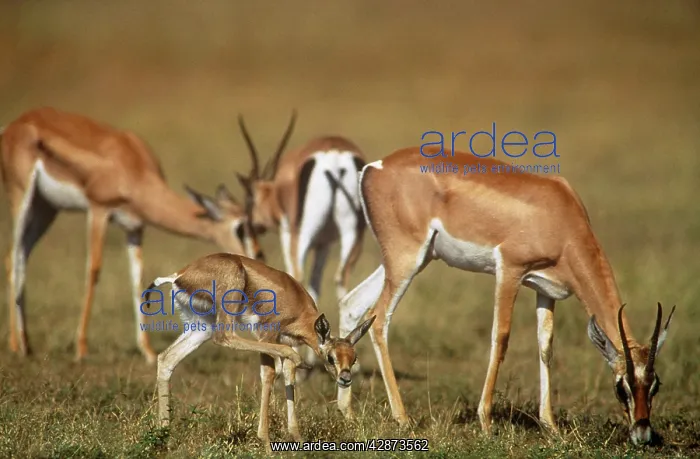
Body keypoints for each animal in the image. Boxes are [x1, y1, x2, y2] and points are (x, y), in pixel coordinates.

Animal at [0, 107, 263, 364]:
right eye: (240, 227)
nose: (257, 257)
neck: (133, 167)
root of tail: (15, 124)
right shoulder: (99, 210)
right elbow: (93, 270)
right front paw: (81, 349)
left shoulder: (134, 228)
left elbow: (137, 279)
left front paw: (148, 352)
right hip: (21, 196)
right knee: (13, 257)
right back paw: (14, 346)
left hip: (46, 208)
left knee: (22, 254)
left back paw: (26, 344)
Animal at [145, 252, 375, 454]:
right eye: (331, 357)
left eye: (353, 358)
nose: (345, 379)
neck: (296, 303)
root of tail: (180, 275)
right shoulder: (268, 336)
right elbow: (270, 374)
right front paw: (266, 443)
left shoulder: (286, 340)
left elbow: (289, 376)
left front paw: (298, 438)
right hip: (224, 320)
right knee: (225, 337)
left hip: (202, 327)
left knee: (167, 358)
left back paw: (163, 437)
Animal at [230, 112, 368, 369]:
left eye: (250, 199)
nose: (249, 229)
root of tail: (334, 157)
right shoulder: (324, 244)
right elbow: (315, 285)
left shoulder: (288, 231)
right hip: (353, 235)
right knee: (342, 280)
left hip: (301, 235)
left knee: (298, 273)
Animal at [337, 146, 676, 446]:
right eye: (622, 386)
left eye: (655, 385)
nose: (642, 434)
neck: (561, 218)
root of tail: (375, 167)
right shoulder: (510, 271)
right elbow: (500, 338)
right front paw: (486, 423)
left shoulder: (546, 290)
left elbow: (545, 347)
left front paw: (551, 427)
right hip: (407, 260)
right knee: (379, 319)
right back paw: (402, 418)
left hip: (412, 261)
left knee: (352, 304)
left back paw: (347, 412)